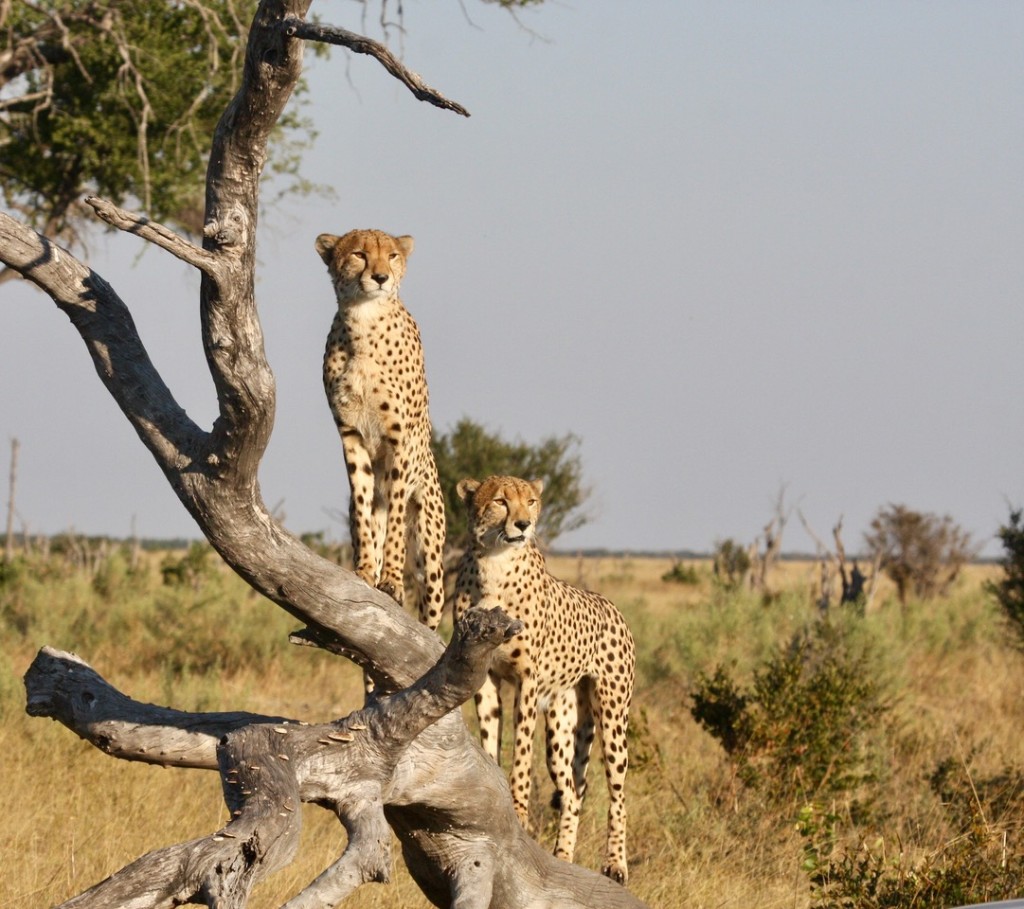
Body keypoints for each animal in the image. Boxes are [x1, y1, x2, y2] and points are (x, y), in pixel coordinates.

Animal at [315, 227, 448, 626]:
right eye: (358, 254)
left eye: (391, 256)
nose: (380, 277)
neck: (364, 319)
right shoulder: (351, 435)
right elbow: (363, 506)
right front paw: (364, 570)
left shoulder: (398, 440)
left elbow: (395, 521)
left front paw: (389, 578)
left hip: (431, 550)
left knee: (432, 613)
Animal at [454, 472, 634, 884]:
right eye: (501, 501)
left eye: (532, 501)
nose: (523, 524)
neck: (495, 563)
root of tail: (611, 604)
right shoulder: (485, 676)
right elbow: (491, 741)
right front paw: (496, 795)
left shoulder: (527, 681)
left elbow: (521, 752)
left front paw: (518, 810)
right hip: (561, 729)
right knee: (572, 791)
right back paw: (563, 856)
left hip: (613, 716)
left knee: (617, 794)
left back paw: (615, 863)